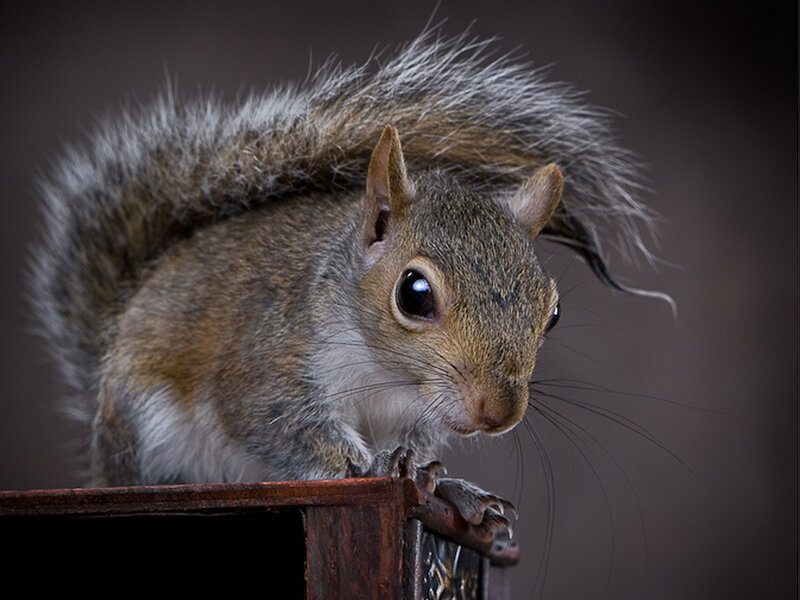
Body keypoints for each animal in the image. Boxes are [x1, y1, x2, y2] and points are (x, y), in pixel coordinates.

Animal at [31, 32, 667, 533]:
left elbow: (419, 450)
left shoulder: (416, 414)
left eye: (552, 312)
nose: (498, 413)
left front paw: (446, 484)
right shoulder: (266, 366)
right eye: (414, 294)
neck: (386, 376)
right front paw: (372, 468)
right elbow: (279, 427)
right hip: (146, 428)